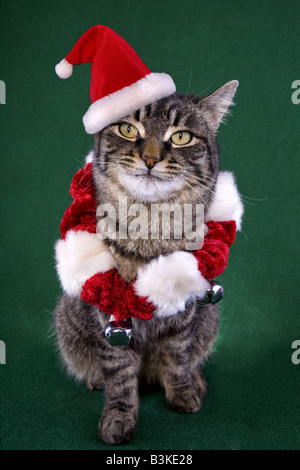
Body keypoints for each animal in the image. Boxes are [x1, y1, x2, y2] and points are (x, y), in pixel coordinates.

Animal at [53, 81, 241, 444]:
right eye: (128, 129)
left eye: (181, 136)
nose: (151, 158)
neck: (150, 227)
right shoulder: (109, 313)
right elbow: (119, 371)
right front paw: (119, 416)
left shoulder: (186, 305)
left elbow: (177, 355)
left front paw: (183, 391)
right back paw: (96, 379)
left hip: (209, 317)